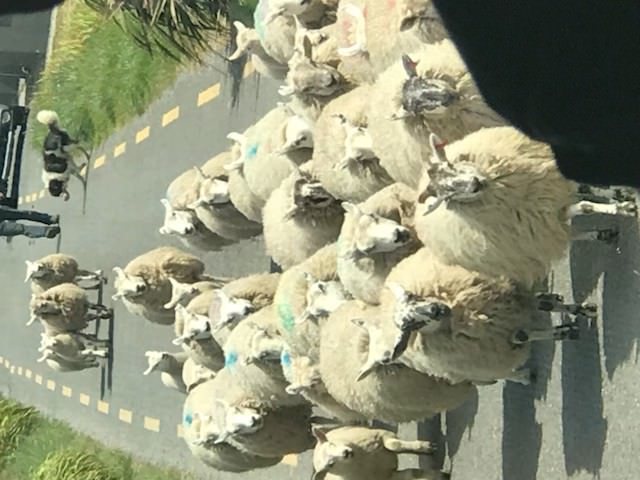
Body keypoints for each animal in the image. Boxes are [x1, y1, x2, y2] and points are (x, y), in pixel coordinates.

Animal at [311, 425, 448, 480]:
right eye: (330, 464)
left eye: (332, 444)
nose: (346, 453)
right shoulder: (388, 476)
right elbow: (412, 473)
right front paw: (439, 475)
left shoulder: (382, 434)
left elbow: (394, 445)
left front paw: (426, 447)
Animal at [375, 248, 586, 385]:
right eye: (409, 327)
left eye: (413, 296)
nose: (436, 310)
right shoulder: (500, 335)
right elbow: (521, 335)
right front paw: (566, 332)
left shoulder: (512, 297)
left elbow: (544, 306)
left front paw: (582, 311)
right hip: (467, 370)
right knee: (496, 373)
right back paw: (523, 377)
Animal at [414, 129, 637, 289]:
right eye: (446, 196)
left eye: (451, 165)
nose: (475, 184)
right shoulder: (547, 216)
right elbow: (586, 207)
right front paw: (625, 208)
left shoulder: (551, 184)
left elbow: (585, 192)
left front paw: (617, 196)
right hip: (532, 245)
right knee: (568, 235)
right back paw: (602, 234)